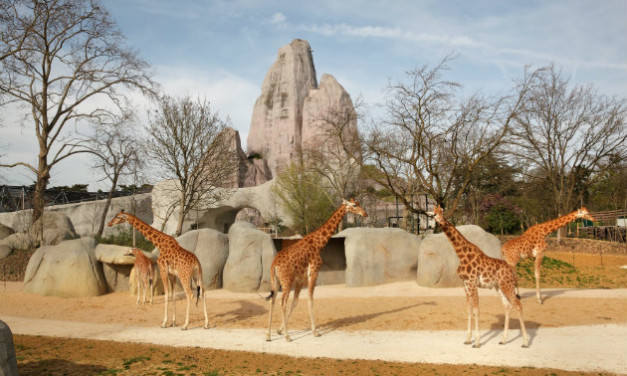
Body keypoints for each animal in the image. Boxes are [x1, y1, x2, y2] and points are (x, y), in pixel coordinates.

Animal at [264, 198, 368, 342]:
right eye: (354, 205)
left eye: (358, 204)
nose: (365, 214)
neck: (318, 244)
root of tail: (274, 264)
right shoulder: (313, 272)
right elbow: (310, 299)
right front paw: (315, 331)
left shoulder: (300, 278)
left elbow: (295, 302)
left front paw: (279, 330)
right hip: (287, 281)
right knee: (282, 302)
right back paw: (287, 336)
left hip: (276, 281)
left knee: (273, 300)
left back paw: (268, 335)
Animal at [430, 204, 528, 348]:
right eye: (433, 214)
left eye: (442, 211)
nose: (441, 221)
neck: (461, 255)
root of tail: (513, 271)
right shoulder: (465, 285)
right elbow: (469, 310)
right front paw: (468, 339)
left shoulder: (472, 283)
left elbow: (476, 310)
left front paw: (476, 342)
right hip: (499, 287)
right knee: (507, 306)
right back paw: (503, 340)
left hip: (507, 285)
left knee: (518, 305)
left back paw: (525, 342)